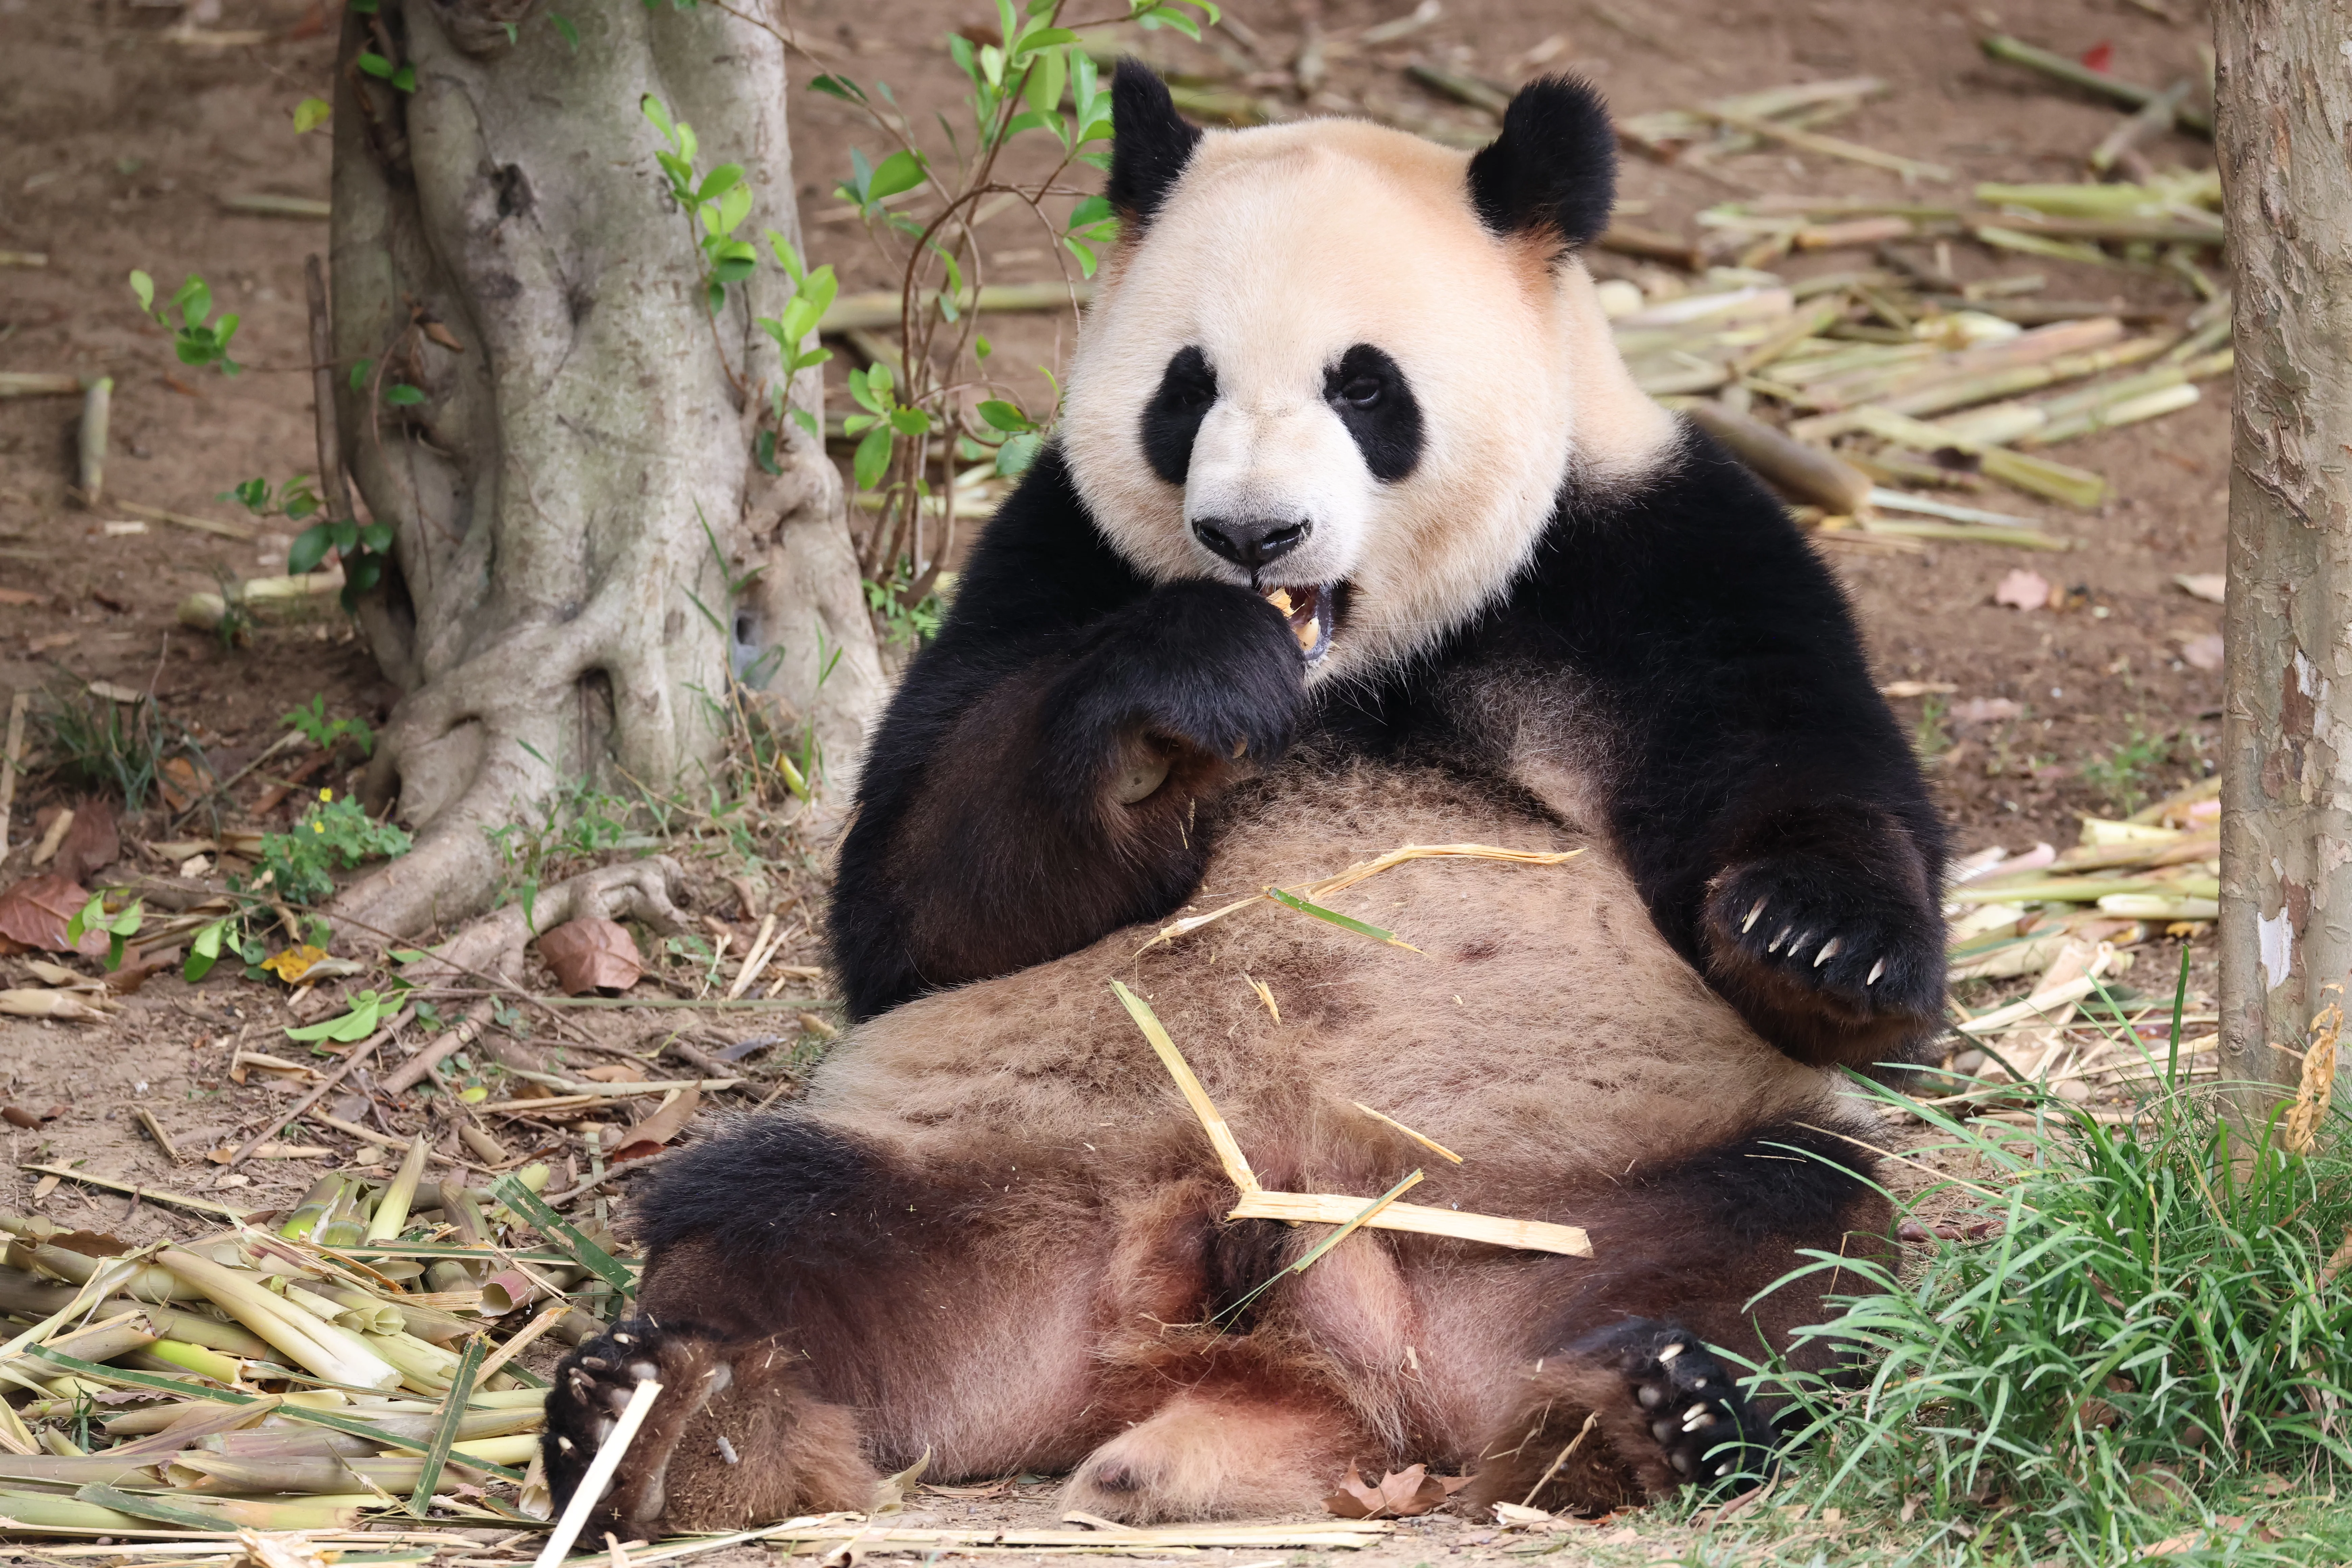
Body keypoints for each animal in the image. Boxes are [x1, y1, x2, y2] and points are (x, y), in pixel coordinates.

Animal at [544, 65, 1946, 1533]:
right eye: (1188, 386)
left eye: (1367, 387)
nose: (1252, 536)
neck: (1353, 659)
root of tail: (1272, 1342)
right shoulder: (1052, 557)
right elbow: (915, 905)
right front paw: (1184, 696)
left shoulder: (1660, 555)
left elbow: (1803, 790)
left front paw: (1817, 941)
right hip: (982, 1167)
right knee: (767, 1218)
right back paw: (675, 1421)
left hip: (1573, 1184)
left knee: (1787, 1238)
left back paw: (1644, 1412)